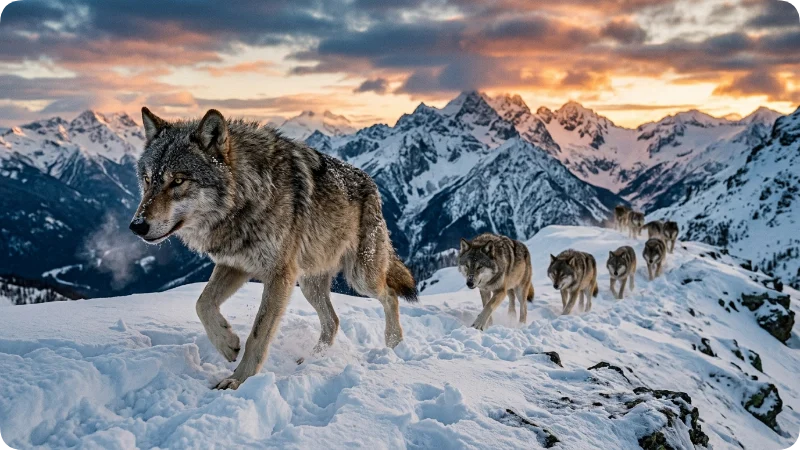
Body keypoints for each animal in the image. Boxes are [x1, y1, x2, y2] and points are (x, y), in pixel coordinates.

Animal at [130, 108, 418, 390]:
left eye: (178, 181)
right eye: (147, 179)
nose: (137, 226)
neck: (248, 193)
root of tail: (372, 183)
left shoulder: (279, 275)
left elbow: (257, 334)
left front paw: (238, 380)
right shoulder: (235, 264)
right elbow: (202, 303)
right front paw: (227, 344)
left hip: (360, 277)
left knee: (389, 295)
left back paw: (393, 343)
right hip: (309, 284)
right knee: (332, 321)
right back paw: (312, 359)